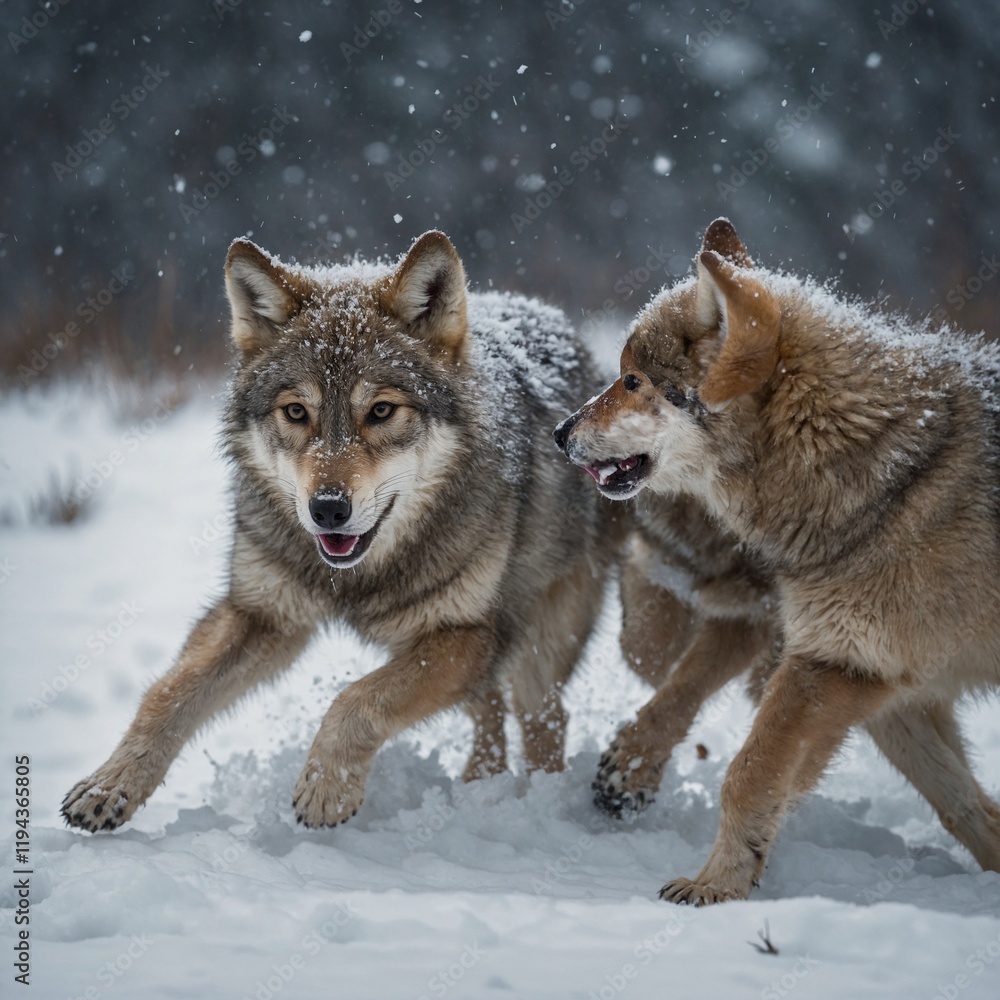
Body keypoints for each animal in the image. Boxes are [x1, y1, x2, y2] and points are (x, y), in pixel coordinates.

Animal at [63, 230, 623, 832]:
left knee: (542, 717)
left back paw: (531, 801)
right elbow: (167, 693)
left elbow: (357, 699)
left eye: (380, 411)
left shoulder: (467, 635)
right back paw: (479, 788)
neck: (354, 581)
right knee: (490, 713)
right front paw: (110, 784)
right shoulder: (260, 612)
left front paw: (326, 787)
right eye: (296, 412)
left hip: (537, 640)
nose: (327, 509)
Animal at [555, 218, 1000, 903]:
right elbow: (967, 808)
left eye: (632, 381)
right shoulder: (865, 674)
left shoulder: (837, 663)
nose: (559, 433)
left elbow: (746, 774)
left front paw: (713, 889)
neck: (885, 477)